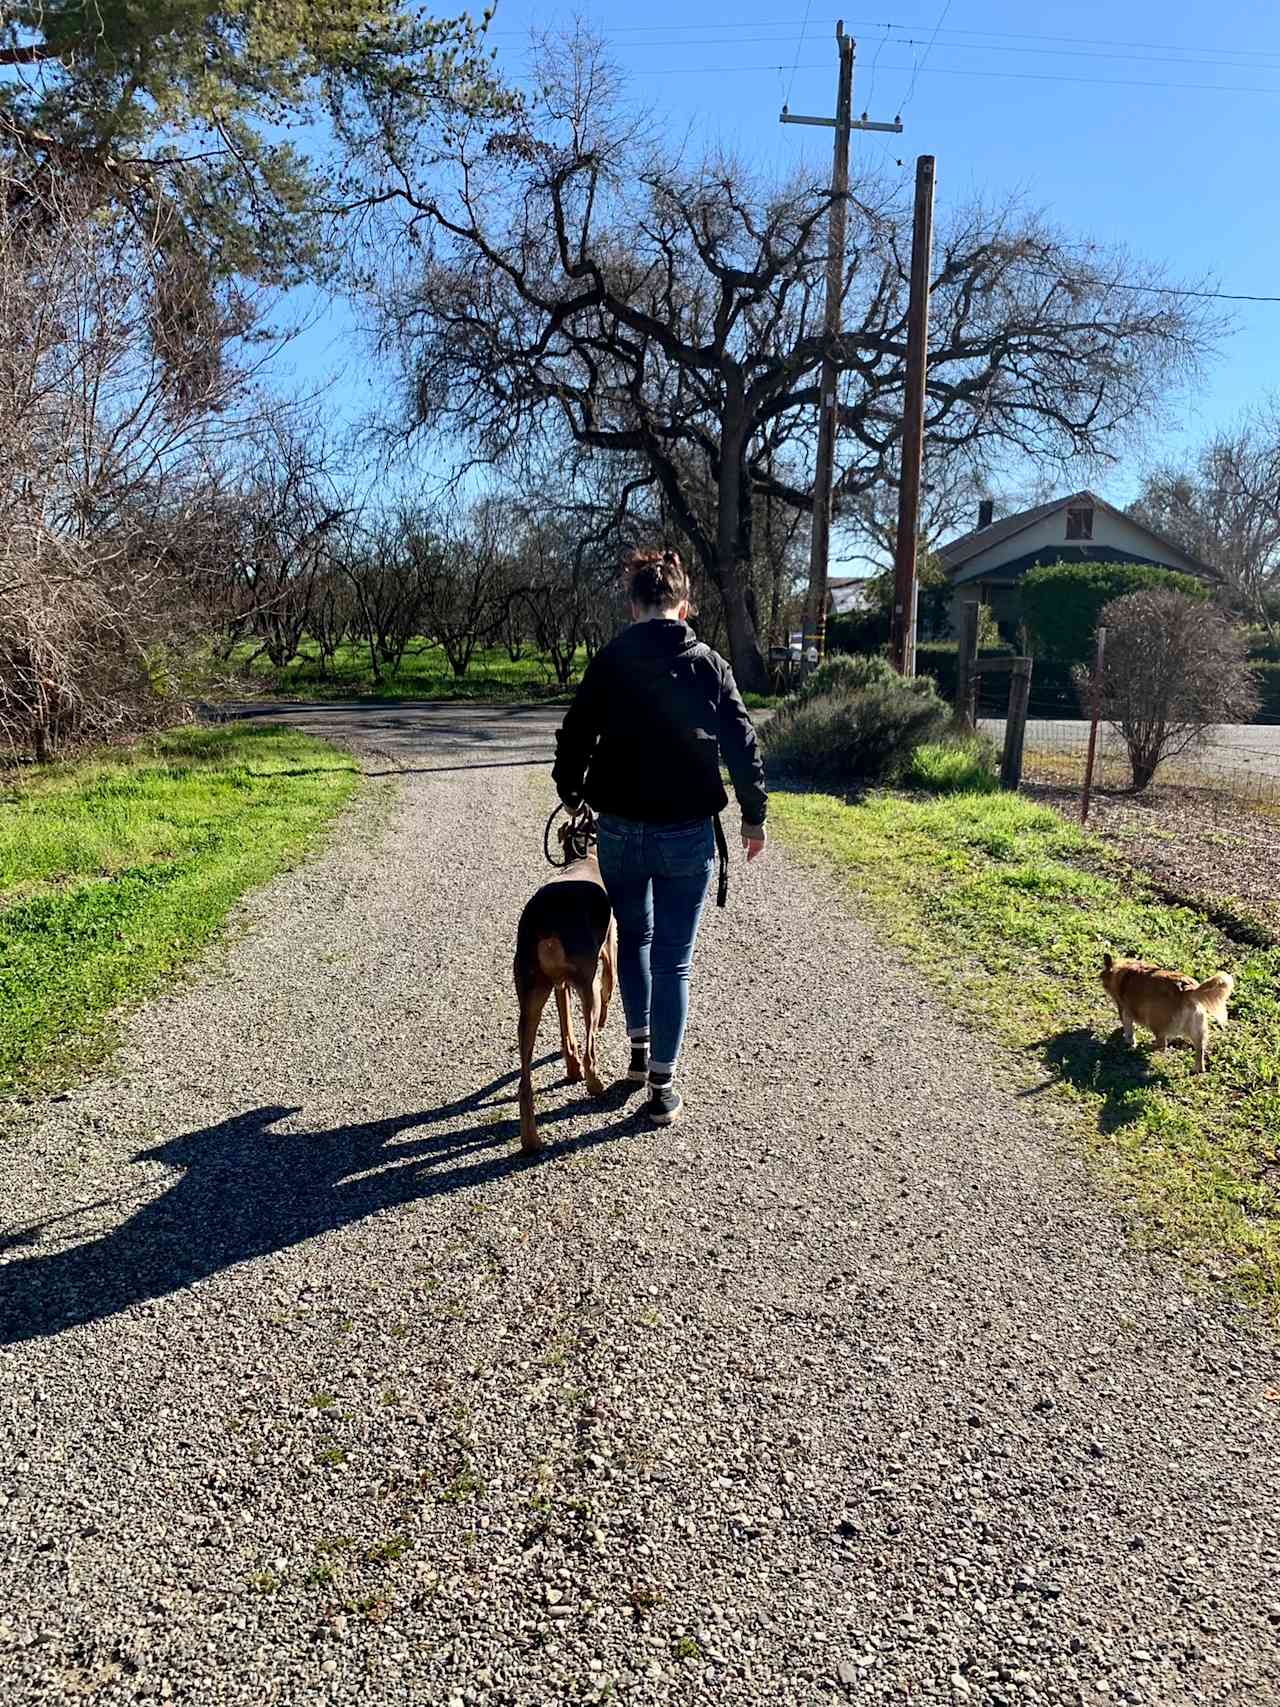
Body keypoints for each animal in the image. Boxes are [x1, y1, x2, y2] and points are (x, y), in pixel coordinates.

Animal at [515, 815, 617, 1160]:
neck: (585, 854)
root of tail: (546, 921)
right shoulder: (610, 949)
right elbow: (609, 987)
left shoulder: (559, 985)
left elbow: (565, 1027)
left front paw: (569, 1066)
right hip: (585, 984)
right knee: (590, 1048)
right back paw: (595, 1085)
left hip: (531, 996)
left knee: (524, 1083)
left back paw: (531, 1141)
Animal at [1105, 955, 1235, 1071]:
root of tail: (1187, 991)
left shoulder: (1123, 1008)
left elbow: (1128, 1027)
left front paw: (1129, 1041)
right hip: (1198, 1028)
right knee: (1200, 1049)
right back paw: (1198, 1069)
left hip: (1155, 1020)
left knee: (1162, 1045)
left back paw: (1146, 1046)